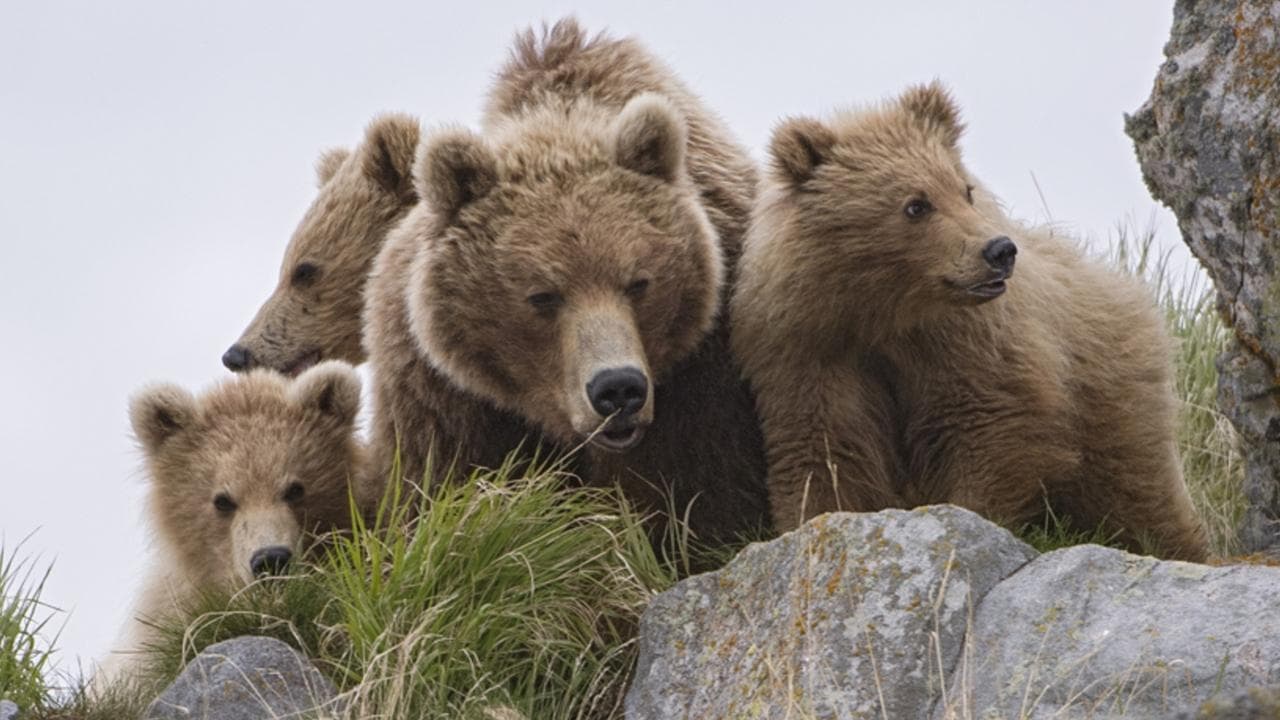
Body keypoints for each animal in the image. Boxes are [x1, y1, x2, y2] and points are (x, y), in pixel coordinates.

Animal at [368, 19, 768, 540]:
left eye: (638, 282)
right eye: (542, 295)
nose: (618, 389)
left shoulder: (702, 379)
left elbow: (702, 496)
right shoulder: (444, 394)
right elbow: (441, 487)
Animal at [732, 79, 1208, 561]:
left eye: (964, 189)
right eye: (916, 205)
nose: (999, 250)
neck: (885, 312)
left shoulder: (967, 342)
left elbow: (986, 426)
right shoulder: (811, 349)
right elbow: (826, 448)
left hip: (1110, 394)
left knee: (1137, 489)